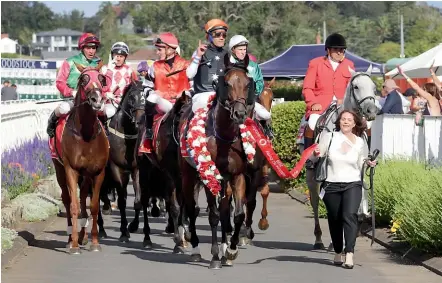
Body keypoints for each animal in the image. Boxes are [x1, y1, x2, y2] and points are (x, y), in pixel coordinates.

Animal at [49, 62, 109, 255]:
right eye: (83, 79)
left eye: (102, 79)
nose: (96, 99)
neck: (86, 135)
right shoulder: (71, 169)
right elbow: (74, 205)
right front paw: (74, 245)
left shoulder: (98, 172)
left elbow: (94, 206)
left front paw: (95, 242)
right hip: (59, 168)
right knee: (67, 199)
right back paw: (71, 238)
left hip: (86, 175)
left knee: (83, 197)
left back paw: (83, 236)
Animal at [96, 81, 146, 243]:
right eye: (131, 98)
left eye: (146, 97)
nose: (140, 121)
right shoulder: (116, 168)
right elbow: (122, 202)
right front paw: (124, 232)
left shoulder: (136, 169)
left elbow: (138, 200)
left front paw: (133, 226)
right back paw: (102, 228)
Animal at [135, 92, 190, 250]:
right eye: (181, 114)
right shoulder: (171, 176)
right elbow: (175, 206)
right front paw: (178, 240)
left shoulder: (182, 177)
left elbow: (183, 205)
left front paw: (185, 234)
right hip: (144, 171)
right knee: (144, 199)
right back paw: (147, 238)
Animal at [179, 54, 256, 270]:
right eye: (226, 83)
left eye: (248, 84)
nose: (239, 114)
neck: (225, 137)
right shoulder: (209, 176)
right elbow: (212, 215)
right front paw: (214, 256)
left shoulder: (236, 175)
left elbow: (236, 215)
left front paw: (230, 251)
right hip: (188, 175)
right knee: (191, 208)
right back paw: (196, 249)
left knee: (224, 211)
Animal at [300, 65, 380, 251]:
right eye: (356, 87)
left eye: (374, 87)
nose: (371, 111)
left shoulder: (359, 171)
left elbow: (357, 209)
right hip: (311, 178)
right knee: (315, 203)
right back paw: (319, 239)